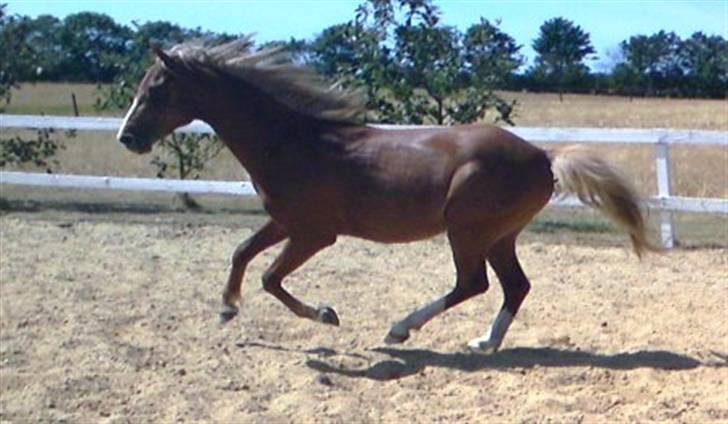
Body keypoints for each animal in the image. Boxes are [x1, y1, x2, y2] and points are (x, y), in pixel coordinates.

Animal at [118, 39, 656, 352]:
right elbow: (241, 252)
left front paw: (326, 315)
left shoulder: (315, 233)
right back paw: (483, 342)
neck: (293, 142)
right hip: (500, 235)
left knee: (473, 284)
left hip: (468, 230)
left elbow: (270, 277)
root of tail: (544, 156)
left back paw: (400, 330)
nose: (127, 138)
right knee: (514, 286)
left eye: (158, 90)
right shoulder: (285, 221)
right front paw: (228, 308)